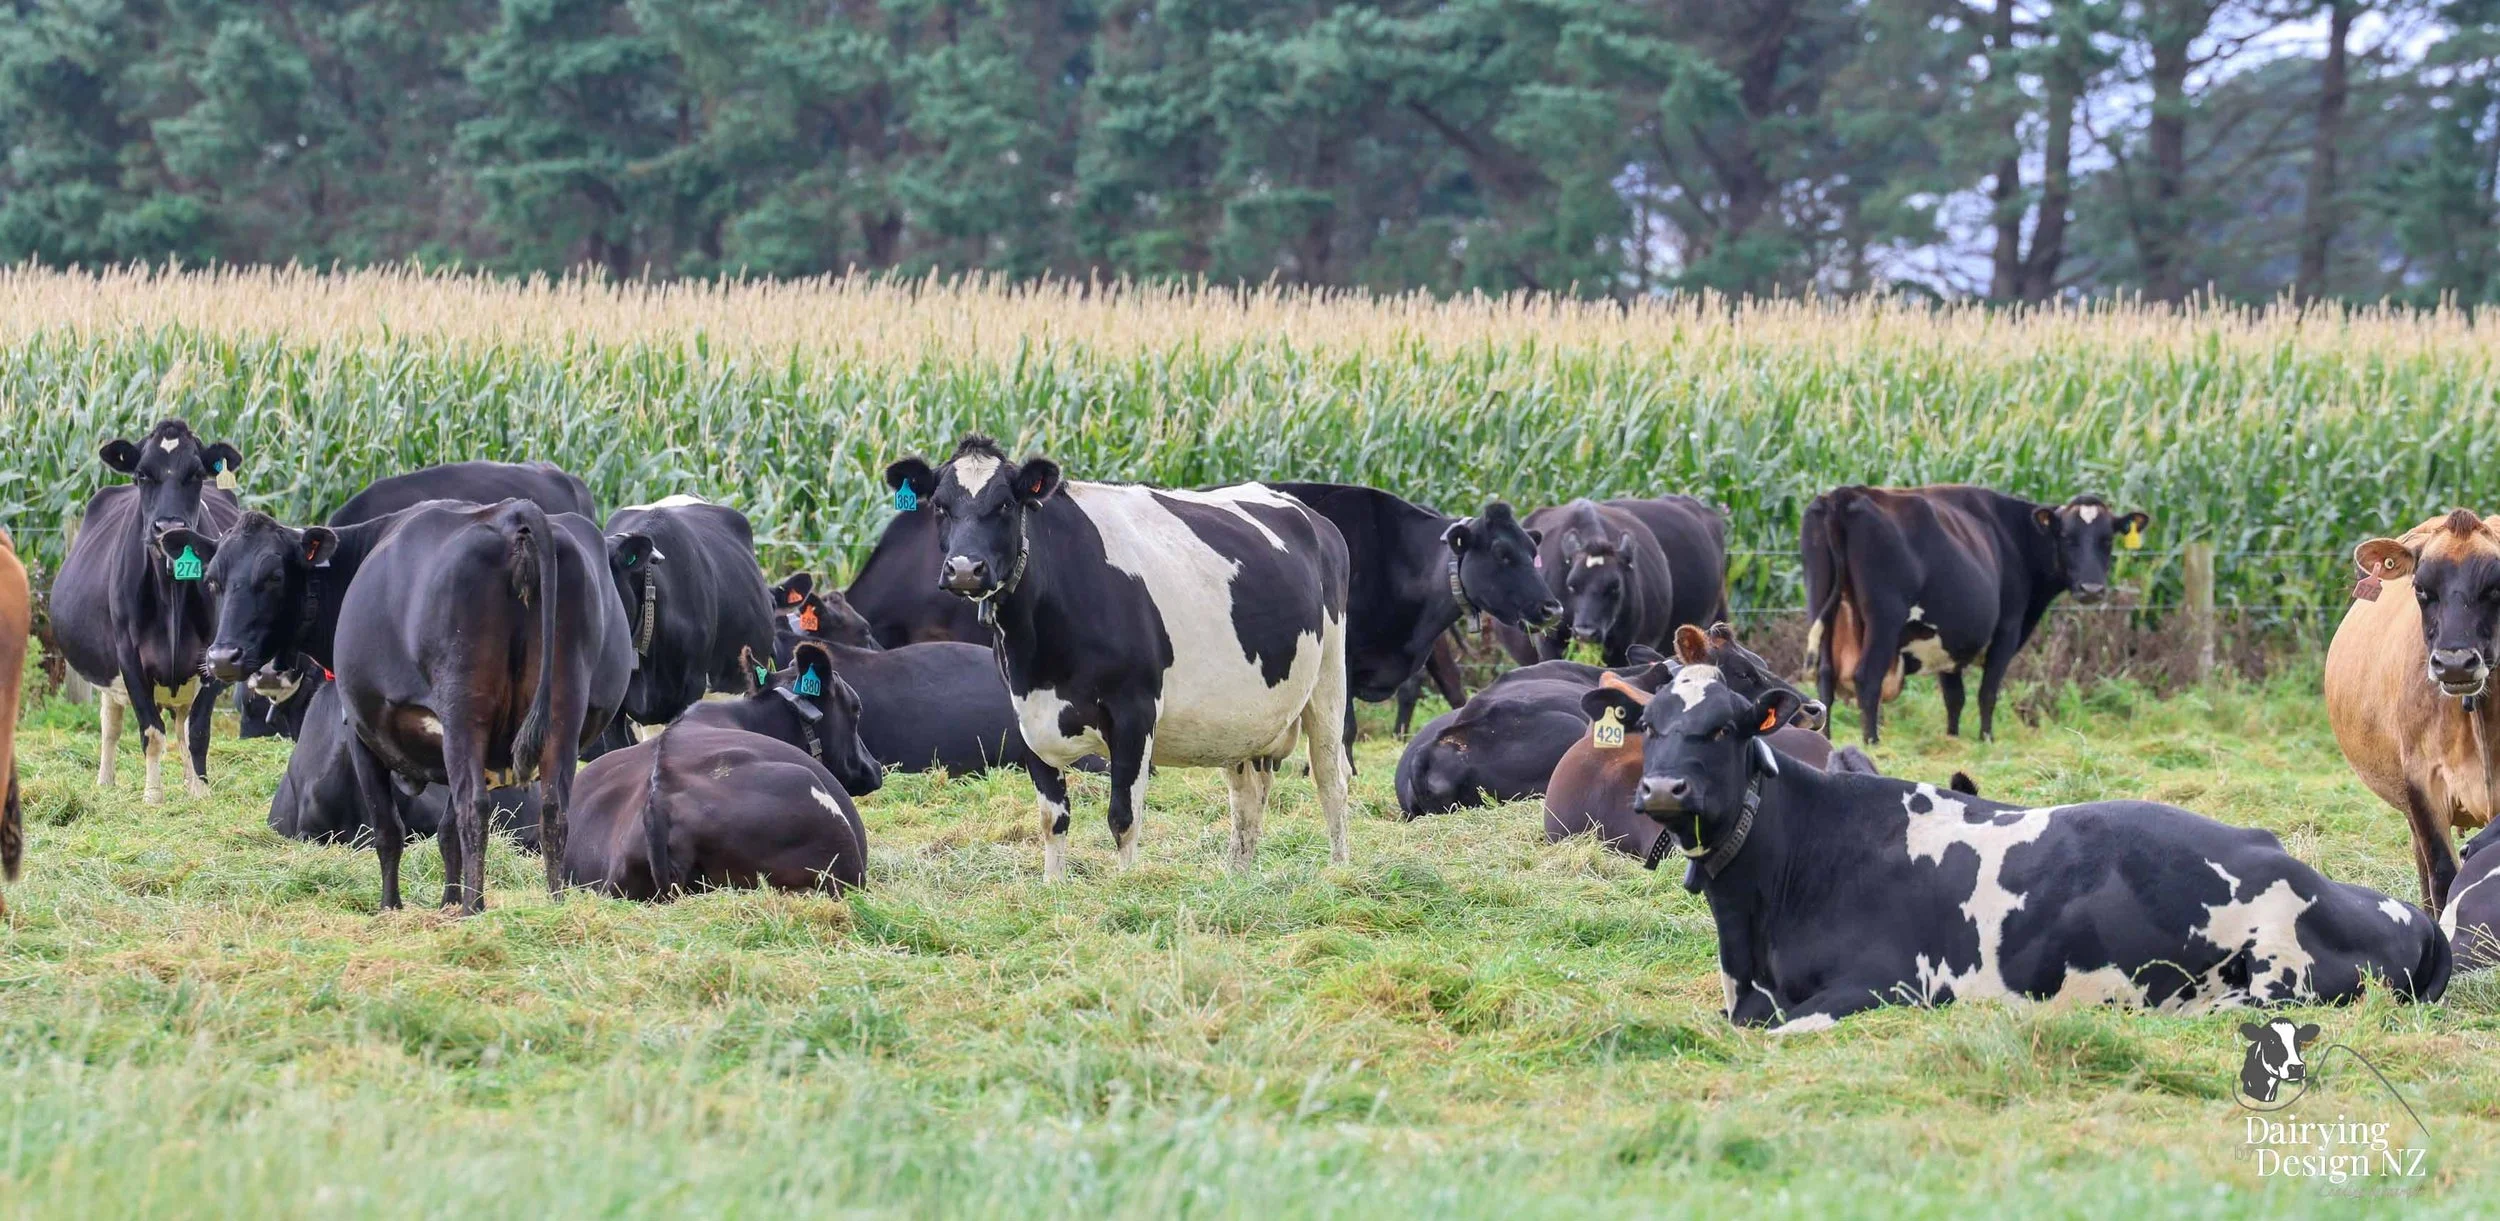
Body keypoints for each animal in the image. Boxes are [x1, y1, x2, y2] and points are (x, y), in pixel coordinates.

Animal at [49, 418, 245, 803]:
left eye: (196, 474)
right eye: (142, 474)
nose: (168, 529)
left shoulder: (215, 654)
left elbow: (197, 731)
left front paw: (200, 791)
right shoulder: (129, 658)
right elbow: (151, 732)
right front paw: (153, 796)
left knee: (182, 726)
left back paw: (188, 780)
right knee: (111, 723)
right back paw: (105, 781)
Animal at [885, 434, 1351, 879]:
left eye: (1004, 504)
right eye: (940, 507)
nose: (965, 569)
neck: (1039, 659)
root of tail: (1309, 514)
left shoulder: (1135, 711)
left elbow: (1123, 818)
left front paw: (1127, 887)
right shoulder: (1026, 716)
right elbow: (1052, 819)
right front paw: (1053, 886)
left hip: (1329, 680)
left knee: (1331, 777)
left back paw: (1337, 871)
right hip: (1241, 720)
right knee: (1247, 798)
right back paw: (1236, 878)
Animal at [1581, 665, 2448, 1033]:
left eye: (1725, 726)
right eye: (1648, 723)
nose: (1663, 790)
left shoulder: (1890, 984)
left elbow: (1780, 1029)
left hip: (2275, 980)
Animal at [1803, 485, 2151, 744]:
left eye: (2107, 540)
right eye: (2066, 537)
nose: (2091, 589)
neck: (2015, 535)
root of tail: (1845, 494)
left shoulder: (1948, 639)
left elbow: (1954, 697)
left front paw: (1953, 738)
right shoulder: (2007, 630)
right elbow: (1988, 692)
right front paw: (1986, 739)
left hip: (1821, 607)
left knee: (1825, 676)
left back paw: (1825, 737)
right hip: (1884, 620)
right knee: (1867, 676)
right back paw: (1871, 740)